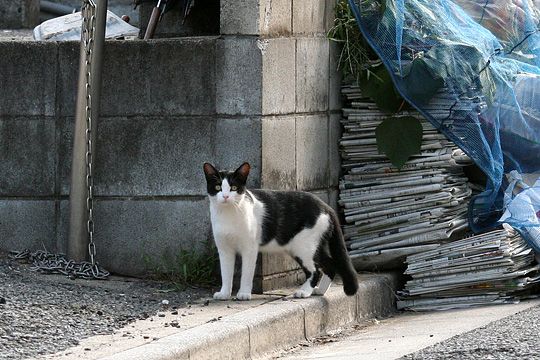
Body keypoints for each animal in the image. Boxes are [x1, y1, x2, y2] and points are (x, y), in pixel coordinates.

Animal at [202, 162, 358, 300]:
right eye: (217, 187)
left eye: (234, 187)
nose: (225, 196)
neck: (228, 214)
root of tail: (326, 207)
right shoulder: (224, 249)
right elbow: (226, 272)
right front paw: (224, 294)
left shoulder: (249, 248)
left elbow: (247, 272)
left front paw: (244, 294)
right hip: (312, 244)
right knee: (330, 265)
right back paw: (319, 291)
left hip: (303, 246)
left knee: (315, 270)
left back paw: (304, 292)